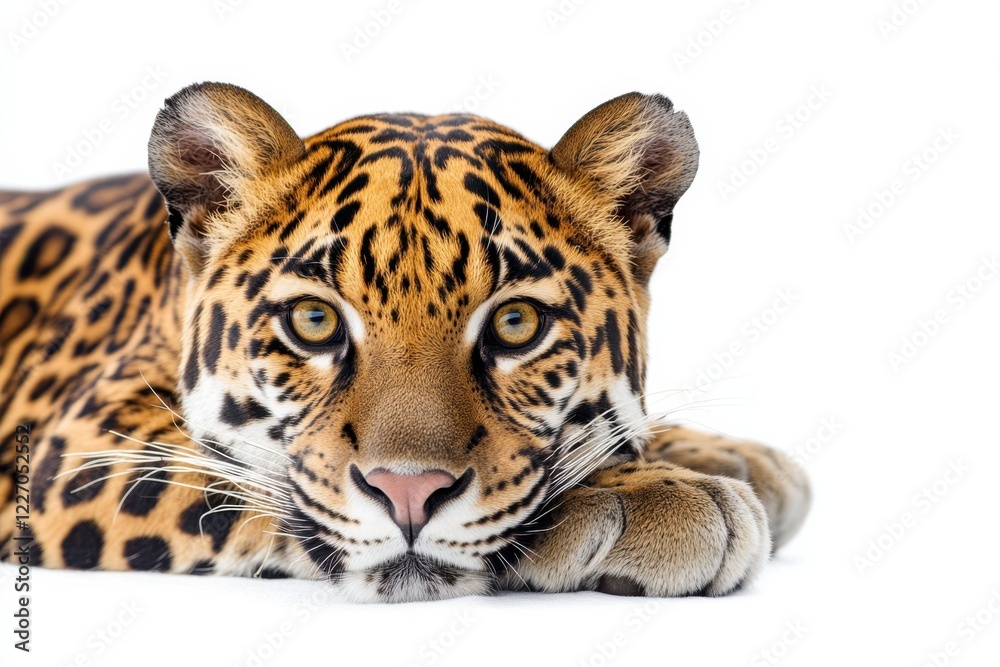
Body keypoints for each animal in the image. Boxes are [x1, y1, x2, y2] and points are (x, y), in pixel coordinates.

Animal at [0, 83, 810, 602]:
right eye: (314, 322)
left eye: (516, 324)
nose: (409, 493)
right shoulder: (74, 439)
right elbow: (235, 478)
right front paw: (646, 494)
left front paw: (726, 457)